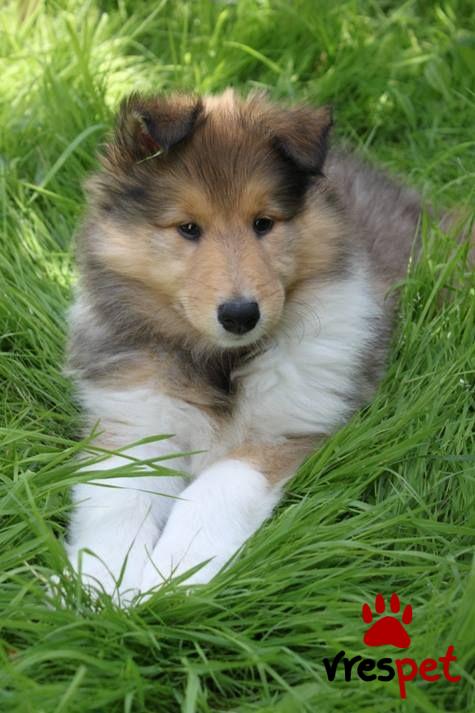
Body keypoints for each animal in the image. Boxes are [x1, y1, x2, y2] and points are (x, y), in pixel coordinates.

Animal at [65, 89, 427, 605]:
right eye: (188, 228)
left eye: (263, 223)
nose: (240, 315)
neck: (220, 360)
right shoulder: (134, 421)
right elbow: (115, 498)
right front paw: (100, 585)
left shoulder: (285, 427)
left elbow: (214, 490)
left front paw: (172, 578)